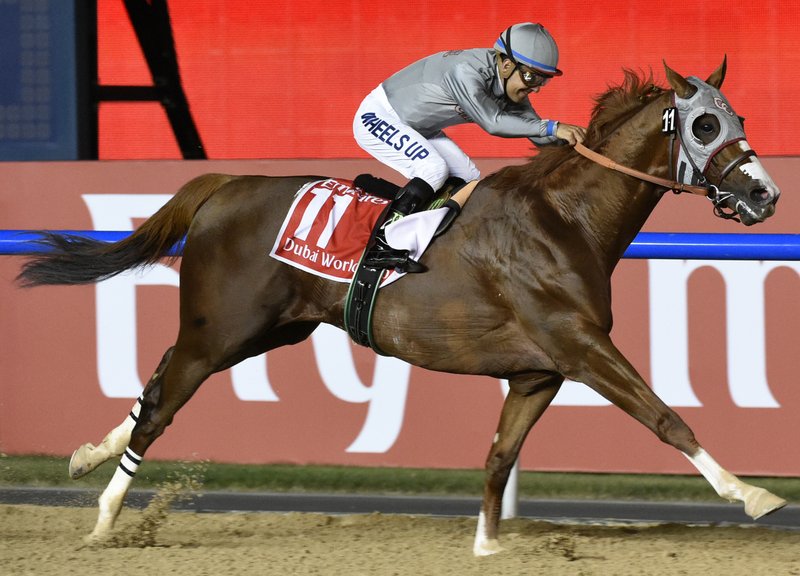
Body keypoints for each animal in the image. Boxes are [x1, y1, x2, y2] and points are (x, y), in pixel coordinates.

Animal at [15, 60, 784, 556]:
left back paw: (87, 456)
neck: (566, 219)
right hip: (222, 330)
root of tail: (225, 185)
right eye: (705, 124)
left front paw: (486, 547)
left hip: (267, 330)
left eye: (740, 116)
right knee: (163, 402)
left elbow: (500, 455)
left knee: (156, 379)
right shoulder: (579, 344)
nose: (766, 194)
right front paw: (751, 494)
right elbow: (664, 415)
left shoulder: (540, 372)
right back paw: (106, 516)